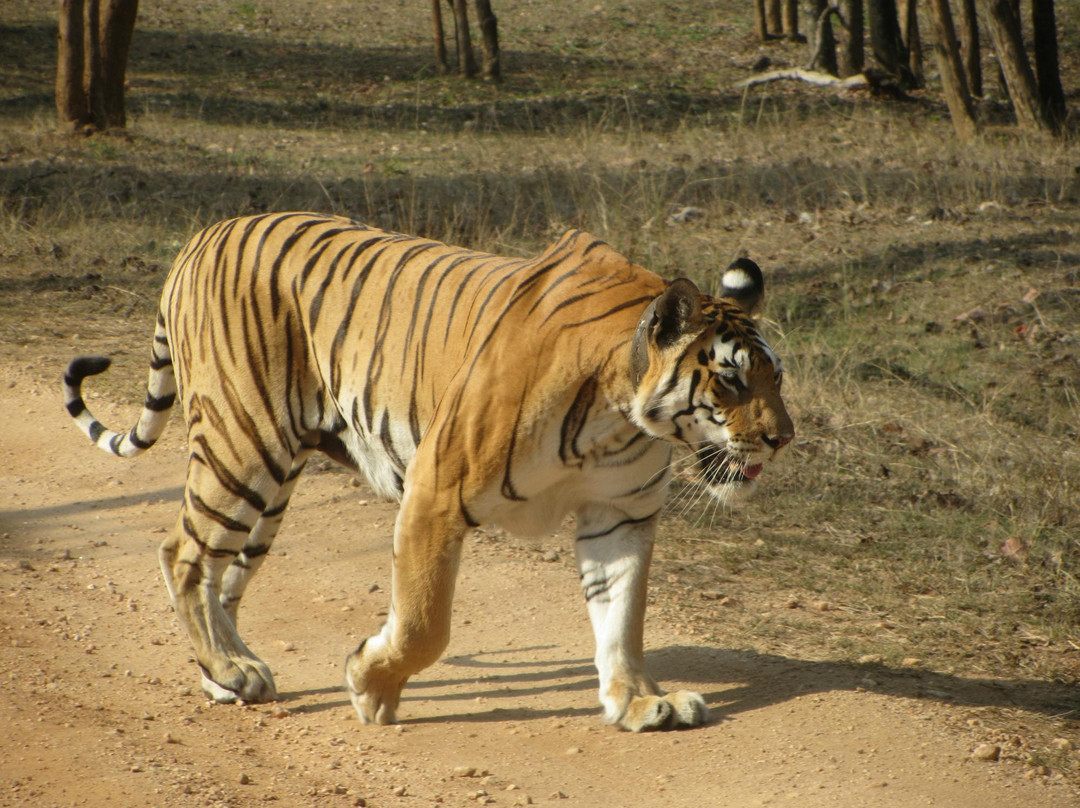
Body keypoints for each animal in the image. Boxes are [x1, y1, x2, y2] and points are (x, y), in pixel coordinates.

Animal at [63, 212, 793, 732]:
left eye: (776, 377)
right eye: (730, 380)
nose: (783, 438)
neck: (620, 416)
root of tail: (202, 235)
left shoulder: (620, 514)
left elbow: (623, 615)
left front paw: (639, 702)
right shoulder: (436, 492)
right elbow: (424, 623)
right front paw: (369, 685)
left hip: (270, 484)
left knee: (223, 574)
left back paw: (226, 673)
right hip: (242, 446)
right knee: (183, 554)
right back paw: (228, 668)